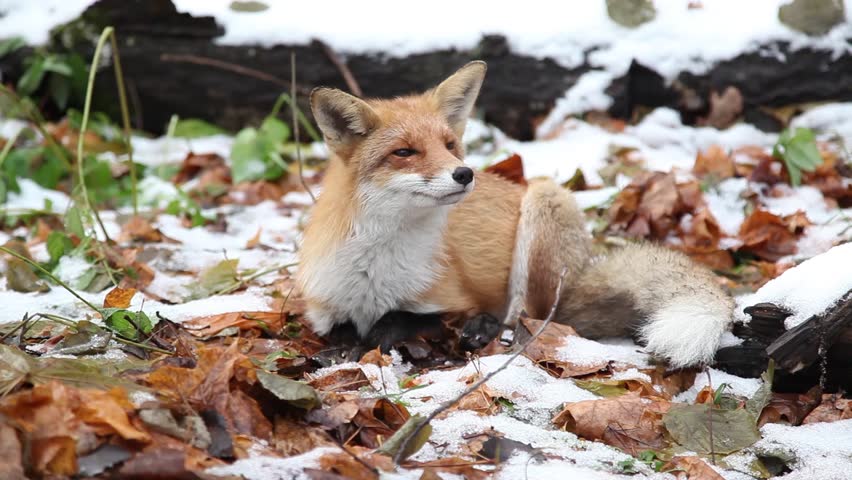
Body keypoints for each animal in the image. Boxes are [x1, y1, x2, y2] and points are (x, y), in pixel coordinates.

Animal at [298, 61, 732, 368]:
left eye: (449, 145)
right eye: (404, 152)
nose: (464, 173)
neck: (375, 266)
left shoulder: (453, 302)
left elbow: (398, 319)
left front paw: (371, 340)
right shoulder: (323, 308)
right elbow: (340, 330)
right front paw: (340, 351)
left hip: (543, 206)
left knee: (529, 321)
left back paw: (489, 331)